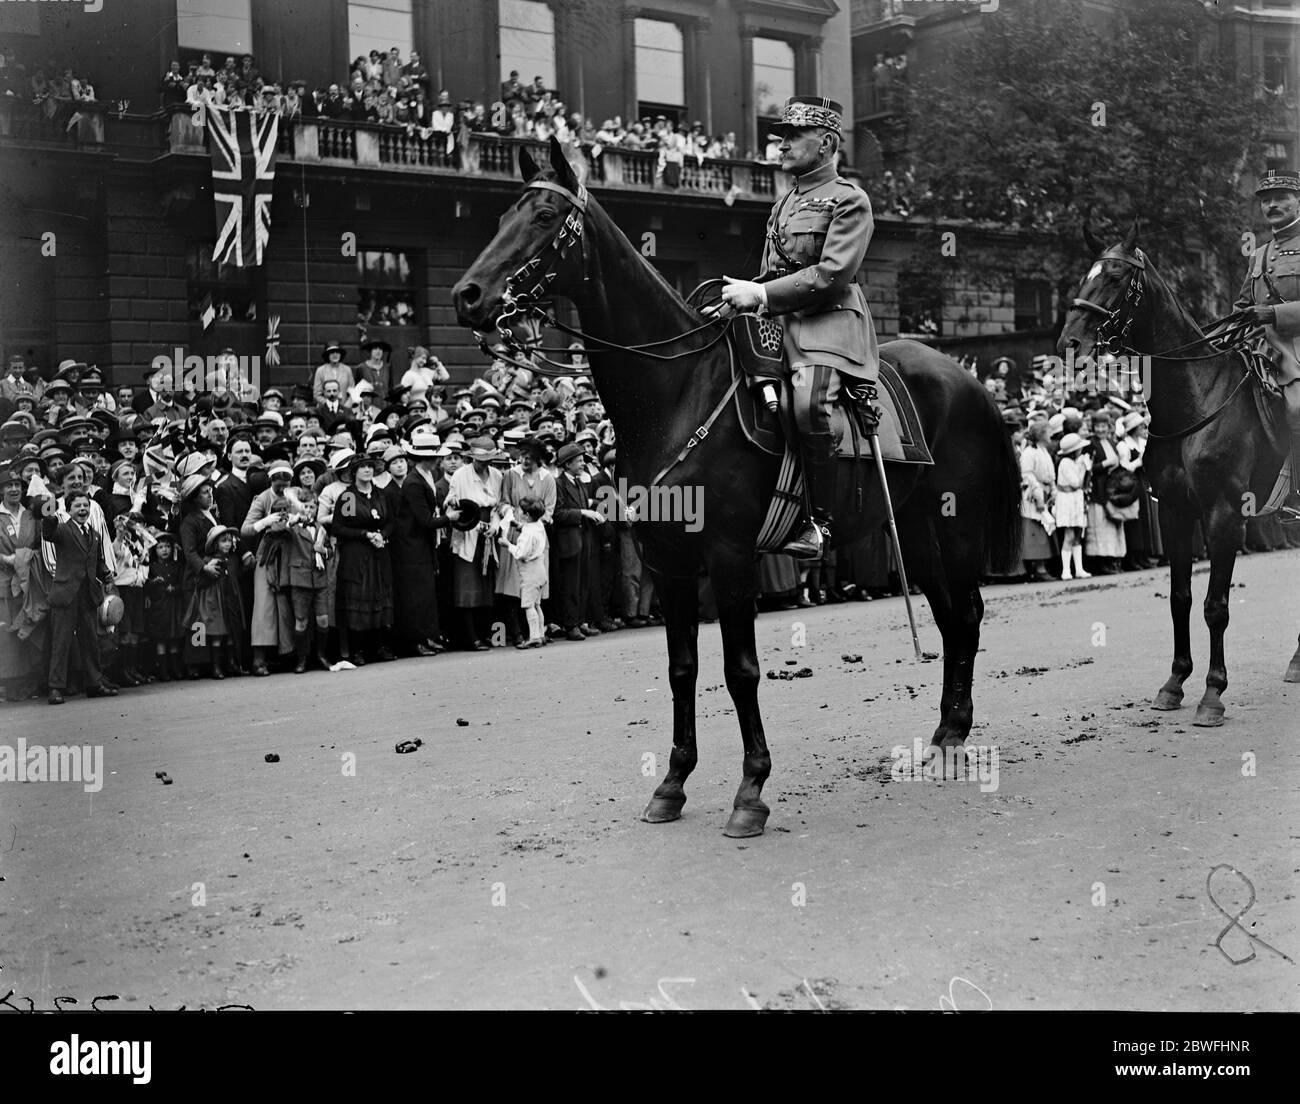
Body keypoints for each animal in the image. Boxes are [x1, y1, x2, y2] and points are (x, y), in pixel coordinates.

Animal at [452, 142, 1019, 837]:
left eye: (542, 216)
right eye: (503, 214)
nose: (467, 295)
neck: (672, 393)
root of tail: (966, 377)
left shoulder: (728, 556)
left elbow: (740, 669)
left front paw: (751, 789)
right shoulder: (667, 562)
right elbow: (682, 668)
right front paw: (672, 784)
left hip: (956, 524)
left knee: (965, 613)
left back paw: (954, 736)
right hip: (911, 526)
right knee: (947, 615)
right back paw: (944, 734)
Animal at [1060, 221, 1294, 728]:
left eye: (1114, 278)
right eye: (1084, 275)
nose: (1069, 344)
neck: (1196, 399)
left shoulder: (1224, 514)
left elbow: (1215, 606)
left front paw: (1213, 693)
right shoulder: (1174, 511)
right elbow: (1179, 597)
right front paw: (1175, 682)